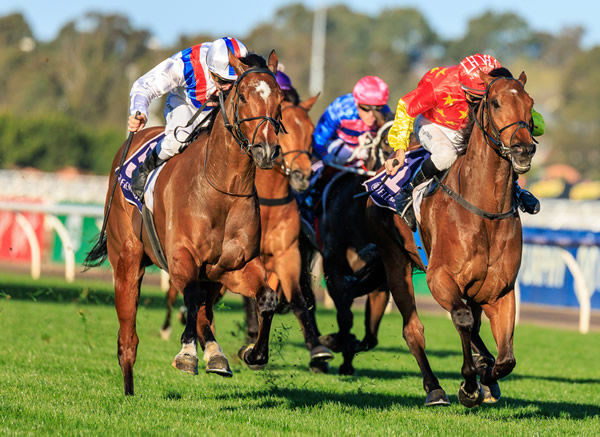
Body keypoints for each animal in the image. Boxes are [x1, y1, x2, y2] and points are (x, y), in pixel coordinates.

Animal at [85, 51, 288, 396]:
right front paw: (186, 355)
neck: (221, 188)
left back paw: (216, 355)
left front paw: (254, 353)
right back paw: (129, 388)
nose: (266, 149)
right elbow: (190, 299)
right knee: (128, 337)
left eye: (279, 99)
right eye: (243, 96)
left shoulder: (234, 266)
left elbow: (266, 298)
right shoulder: (181, 259)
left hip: (214, 277)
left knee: (207, 310)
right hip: (127, 259)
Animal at [368, 70, 536, 408]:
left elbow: (506, 359)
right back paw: (434, 388)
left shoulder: (500, 290)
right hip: (395, 262)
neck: (485, 211)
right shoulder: (440, 277)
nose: (523, 150)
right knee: (414, 329)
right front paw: (470, 384)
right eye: (496, 103)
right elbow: (460, 318)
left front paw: (487, 375)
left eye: (531, 104)